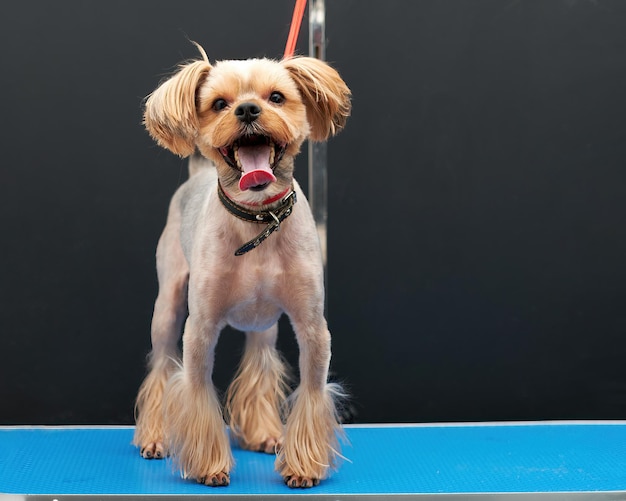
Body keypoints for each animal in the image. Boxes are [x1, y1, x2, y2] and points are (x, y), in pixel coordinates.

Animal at [131, 43, 348, 488]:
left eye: (277, 97)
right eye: (218, 104)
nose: (247, 110)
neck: (258, 218)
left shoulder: (313, 326)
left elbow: (312, 391)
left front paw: (302, 465)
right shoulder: (199, 327)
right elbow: (196, 392)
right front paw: (208, 465)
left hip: (264, 323)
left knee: (260, 362)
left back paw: (263, 432)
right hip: (167, 307)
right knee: (160, 368)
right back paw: (155, 437)